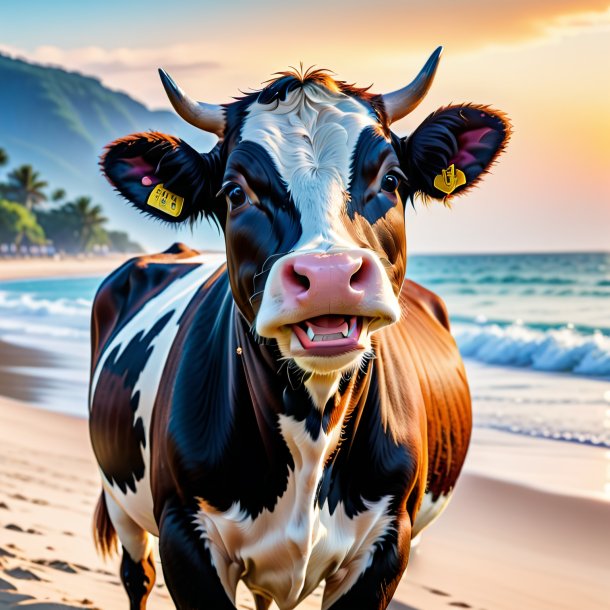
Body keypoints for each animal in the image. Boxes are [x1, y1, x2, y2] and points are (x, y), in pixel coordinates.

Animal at [89, 47, 508, 608]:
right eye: (235, 192)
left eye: (391, 180)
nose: (329, 274)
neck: (311, 425)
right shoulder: (184, 532)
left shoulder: (388, 540)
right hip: (120, 498)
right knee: (137, 574)